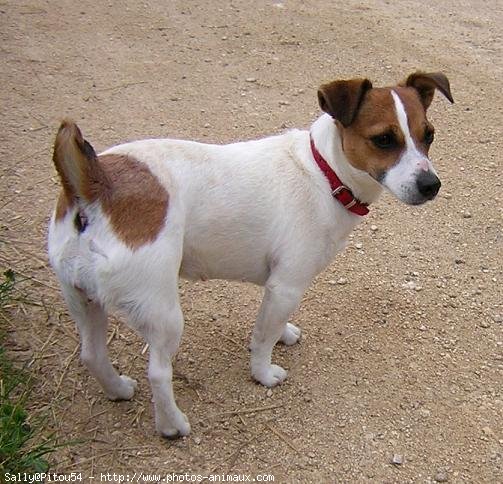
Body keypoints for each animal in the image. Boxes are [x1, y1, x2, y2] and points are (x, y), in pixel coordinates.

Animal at [49, 73, 454, 438]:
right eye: (384, 139)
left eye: (429, 135)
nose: (430, 185)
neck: (323, 173)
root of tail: (96, 186)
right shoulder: (286, 286)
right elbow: (262, 339)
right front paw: (263, 373)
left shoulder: (278, 289)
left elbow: (272, 326)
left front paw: (284, 333)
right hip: (162, 313)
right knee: (159, 373)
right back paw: (171, 425)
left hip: (83, 299)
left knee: (92, 354)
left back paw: (118, 390)